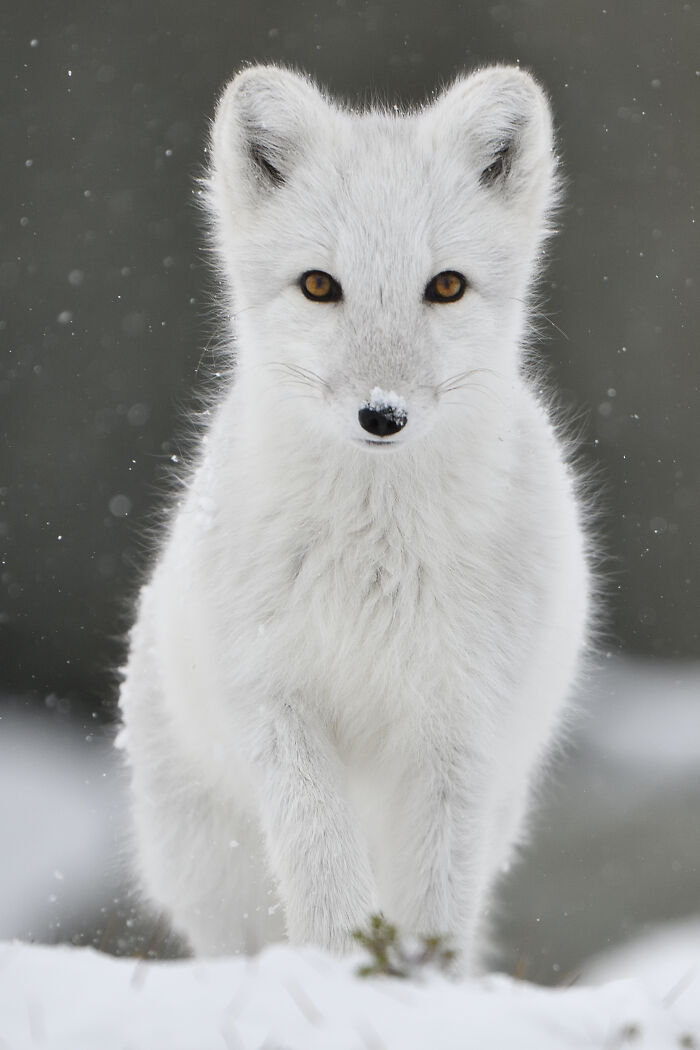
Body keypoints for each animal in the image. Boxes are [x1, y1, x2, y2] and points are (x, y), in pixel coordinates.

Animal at [117, 63, 592, 973]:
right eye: (319, 286)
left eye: (446, 286)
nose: (382, 415)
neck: (377, 556)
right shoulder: (279, 706)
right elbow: (321, 864)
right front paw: (341, 971)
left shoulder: (459, 725)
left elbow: (435, 901)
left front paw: (416, 984)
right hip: (209, 869)